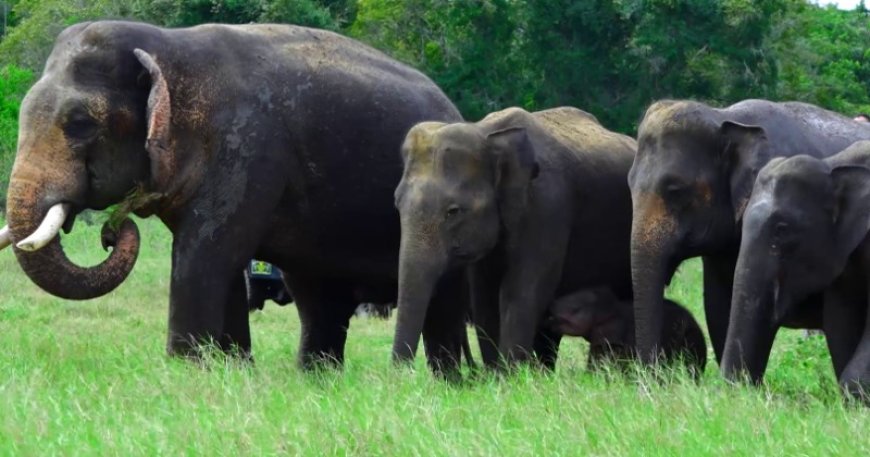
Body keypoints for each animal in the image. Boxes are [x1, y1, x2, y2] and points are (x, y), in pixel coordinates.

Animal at [0, 20, 470, 370]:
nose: (112, 232)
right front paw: (232, 368)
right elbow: (221, 261)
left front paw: (187, 369)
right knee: (319, 297)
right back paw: (315, 376)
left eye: (79, 123)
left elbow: (206, 252)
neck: (168, 45)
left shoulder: (248, 148)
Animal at [392, 106, 636, 366]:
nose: (402, 372)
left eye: (453, 211)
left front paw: (512, 372)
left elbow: (521, 293)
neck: (485, 132)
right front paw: (497, 372)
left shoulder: (547, 207)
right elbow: (484, 299)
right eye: (397, 203)